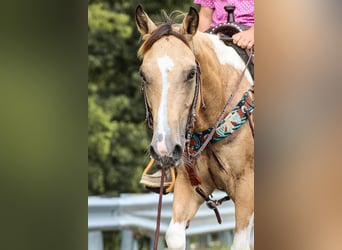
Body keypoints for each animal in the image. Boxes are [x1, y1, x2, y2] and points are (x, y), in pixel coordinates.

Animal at [135, 4, 252, 250]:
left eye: (191, 73)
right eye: (143, 74)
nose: (165, 148)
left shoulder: (247, 187)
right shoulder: (189, 185)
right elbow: (174, 236)